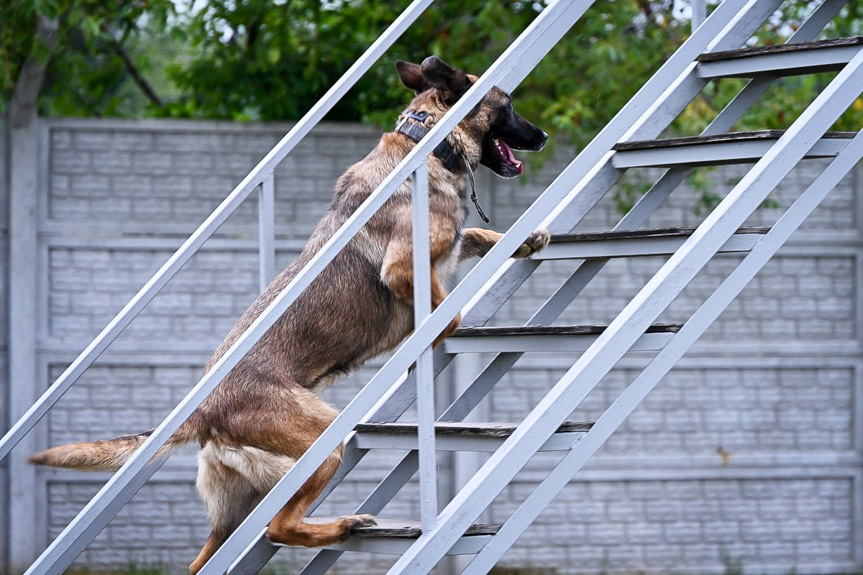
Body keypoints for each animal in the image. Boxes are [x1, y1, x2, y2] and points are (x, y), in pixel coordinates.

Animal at [30, 56, 552, 572]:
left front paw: (527, 238)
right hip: (324, 446)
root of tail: (204, 410)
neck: (427, 144)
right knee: (278, 526)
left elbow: (482, 237)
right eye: (508, 105)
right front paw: (435, 338)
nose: (544, 136)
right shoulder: (405, 269)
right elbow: (448, 309)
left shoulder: (445, 250)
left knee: (208, 557)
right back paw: (341, 526)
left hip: (231, 515)